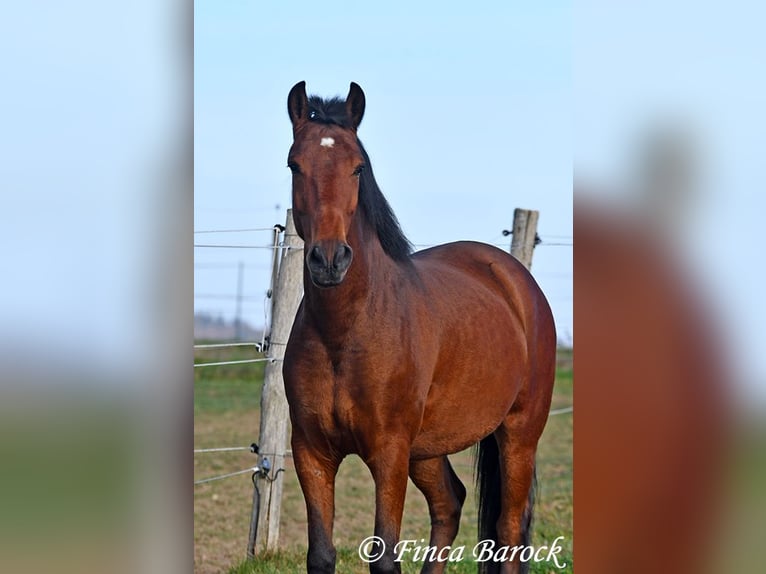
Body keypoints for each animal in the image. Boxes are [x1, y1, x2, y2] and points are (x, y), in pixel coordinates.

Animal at [282, 82, 560, 574]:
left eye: (358, 167)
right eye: (295, 164)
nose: (330, 260)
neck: (343, 335)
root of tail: (514, 277)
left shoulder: (389, 452)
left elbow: (385, 558)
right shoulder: (311, 452)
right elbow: (321, 555)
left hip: (519, 435)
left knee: (509, 531)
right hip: (428, 449)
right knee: (450, 503)